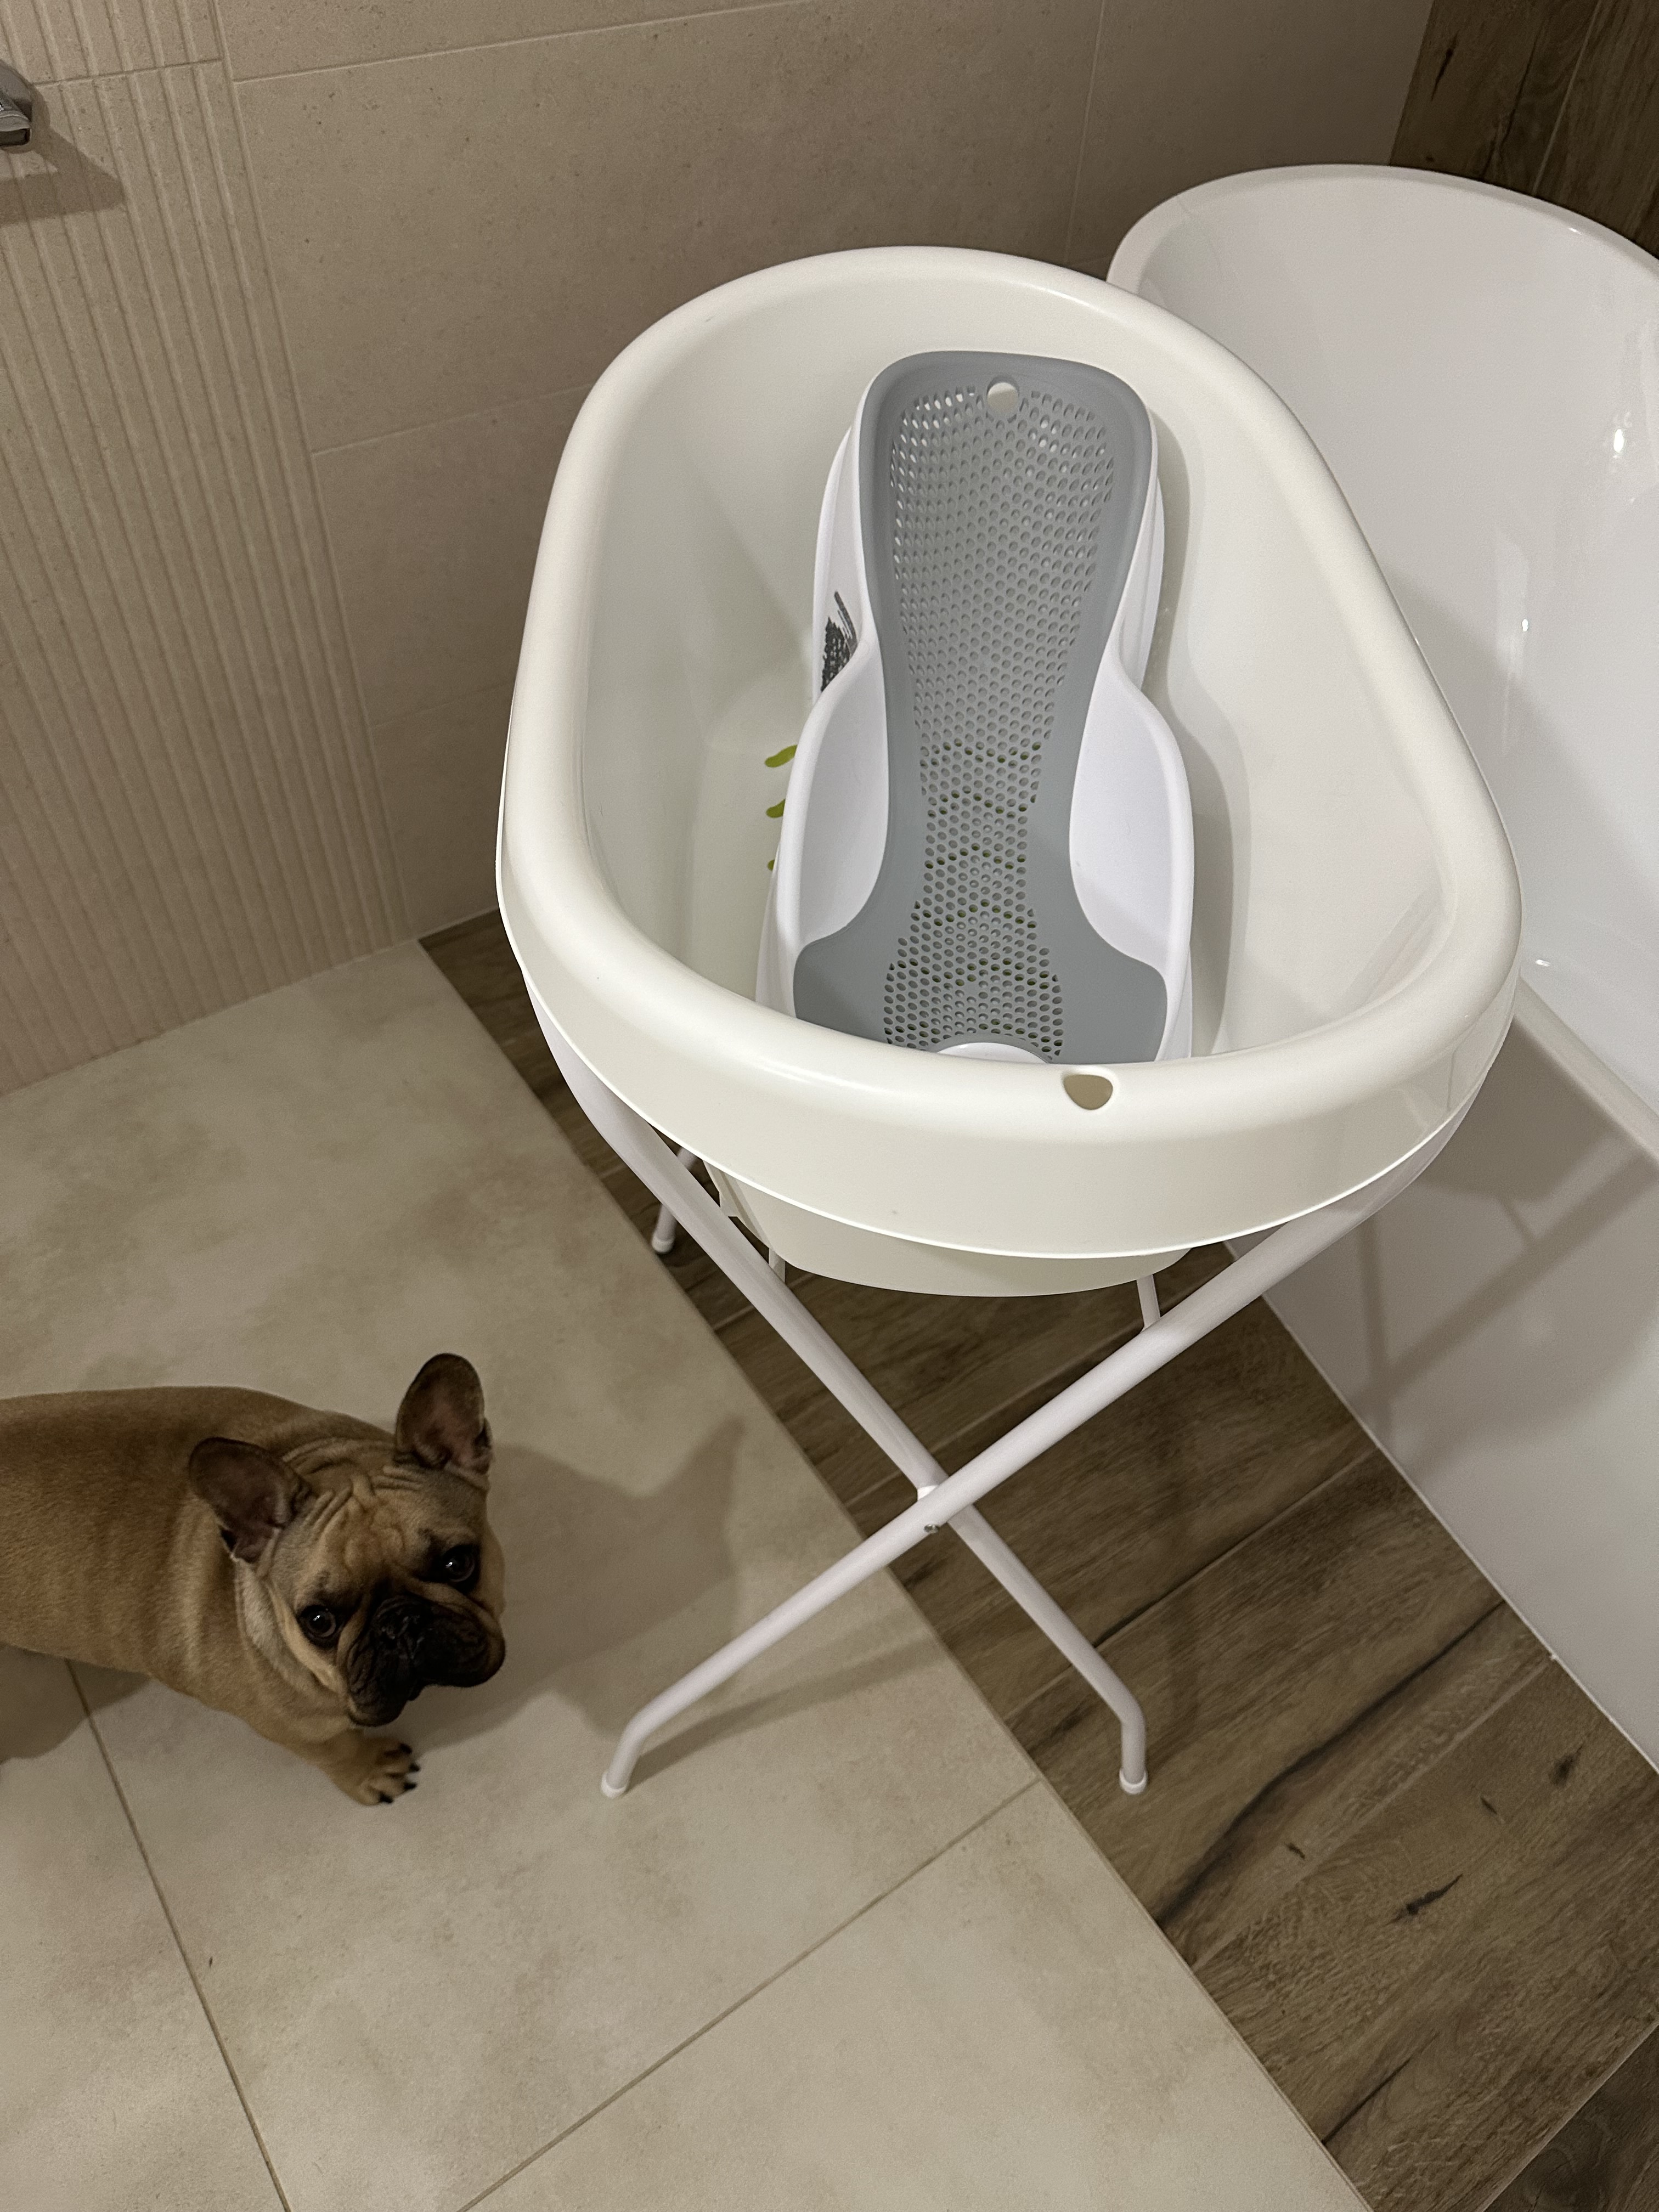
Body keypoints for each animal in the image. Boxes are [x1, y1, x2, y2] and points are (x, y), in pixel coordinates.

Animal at [0, 1354, 505, 1803]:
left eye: (458, 1564)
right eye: (319, 1621)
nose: (400, 1623)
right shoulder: (295, 1731)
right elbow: (336, 1750)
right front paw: (369, 1772)